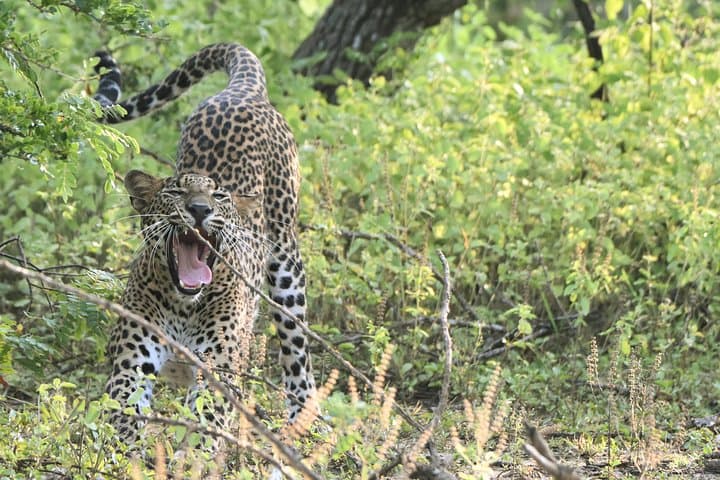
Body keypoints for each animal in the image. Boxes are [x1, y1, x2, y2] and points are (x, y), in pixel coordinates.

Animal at [94, 43, 316, 443]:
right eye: (176, 192)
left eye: (220, 197)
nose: (199, 209)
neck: (184, 303)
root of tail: (242, 92)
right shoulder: (131, 363)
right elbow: (124, 414)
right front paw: (127, 450)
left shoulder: (221, 370)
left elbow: (205, 428)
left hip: (288, 267)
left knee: (298, 356)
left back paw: (302, 425)